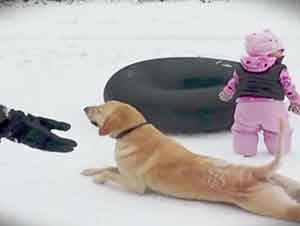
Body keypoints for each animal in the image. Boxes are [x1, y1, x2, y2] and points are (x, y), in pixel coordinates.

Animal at [81, 100, 300, 221]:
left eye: (99, 109)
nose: (85, 108)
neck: (132, 131)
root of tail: (255, 172)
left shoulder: (134, 185)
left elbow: (109, 173)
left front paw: (99, 178)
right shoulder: (123, 171)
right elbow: (108, 167)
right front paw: (89, 171)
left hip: (274, 206)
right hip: (284, 182)